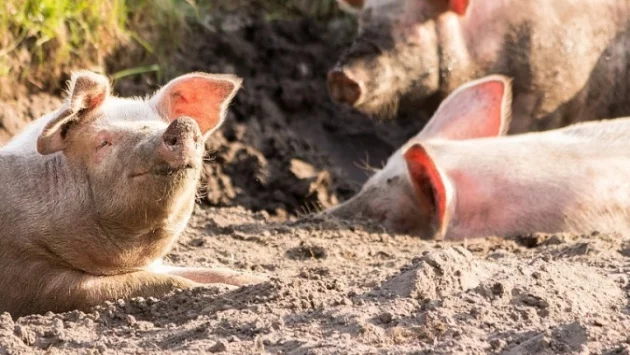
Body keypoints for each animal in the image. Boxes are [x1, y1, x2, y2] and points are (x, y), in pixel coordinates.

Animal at [0, 70, 266, 318]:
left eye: (160, 124)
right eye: (104, 142)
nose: (183, 124)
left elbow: (214, 272)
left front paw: (264, 281)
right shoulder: (32, 279)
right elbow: (155, 282)